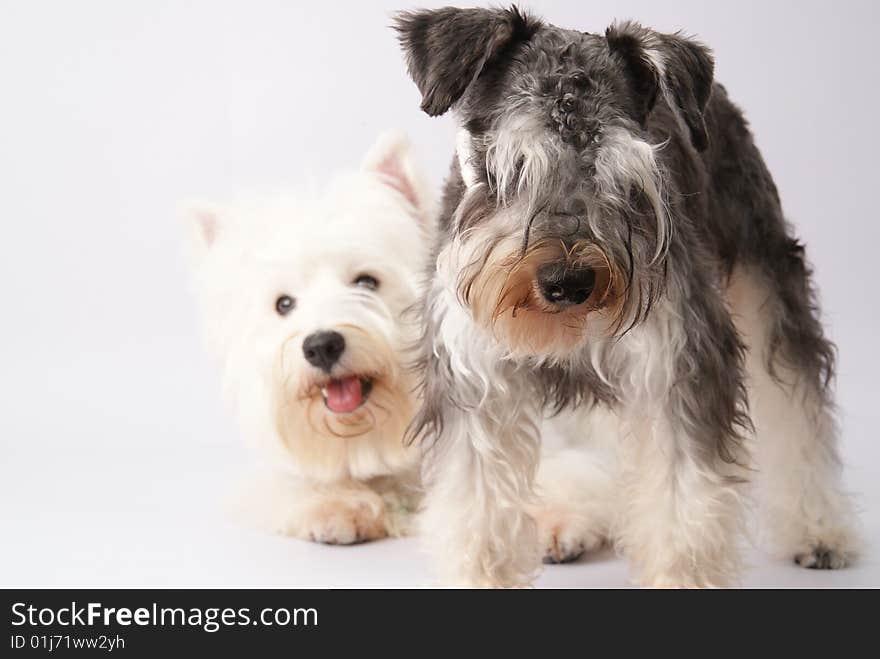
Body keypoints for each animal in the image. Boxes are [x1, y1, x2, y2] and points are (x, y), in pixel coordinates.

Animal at [394, 2, 860, 584]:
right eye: (513, 165)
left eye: (625, 176)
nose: (568, 283)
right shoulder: (475, 381)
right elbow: (478, 514)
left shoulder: (676, 366)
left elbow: (684, 506)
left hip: (768, 277)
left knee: (798, 405)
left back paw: (819, 530)